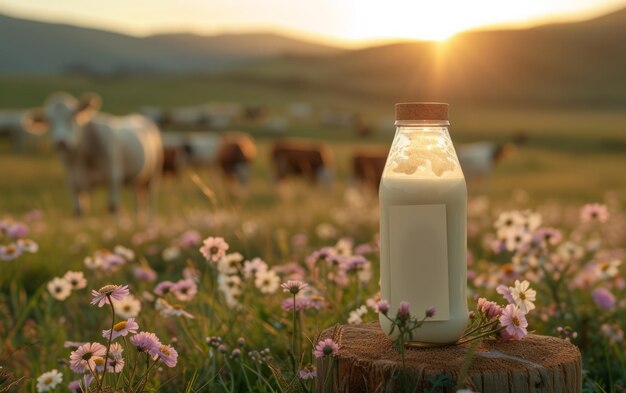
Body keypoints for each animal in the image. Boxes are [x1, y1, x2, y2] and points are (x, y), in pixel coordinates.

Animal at [23, 91, 162, 214]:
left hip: (153, 175)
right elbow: (79, 210)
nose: (61, 142)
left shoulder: (114, 177)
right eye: (50, 122)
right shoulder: (73, 182)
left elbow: (113, 207)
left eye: (72, 117)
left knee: (151, 202)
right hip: (137, 180)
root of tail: (140, 116)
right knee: (138, 201)